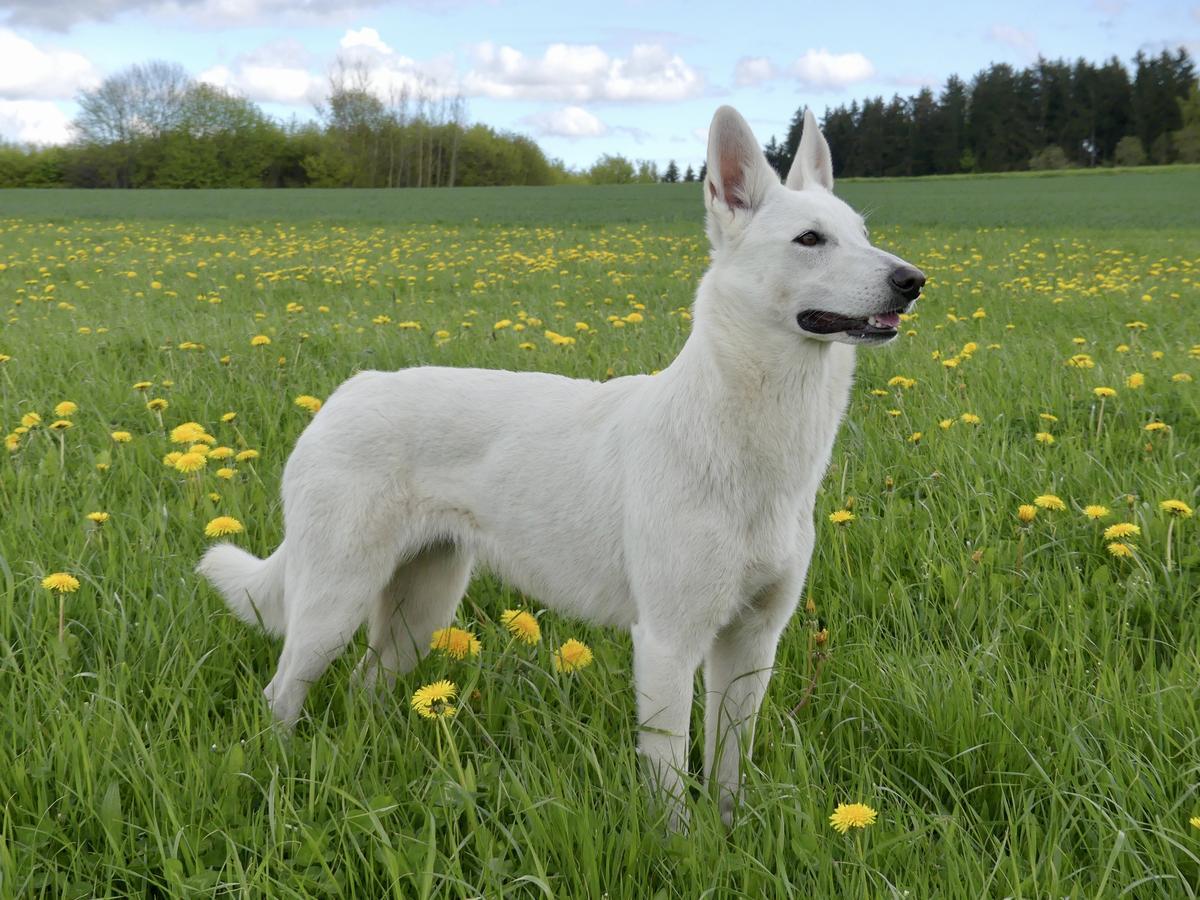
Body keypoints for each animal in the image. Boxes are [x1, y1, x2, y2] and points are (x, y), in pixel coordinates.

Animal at [196, 103, 926, 825]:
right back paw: (279, 780)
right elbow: (669, 785)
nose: (914, 281)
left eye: (862, 234)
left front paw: (729, 835)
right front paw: (680, 846)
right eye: (810, 240)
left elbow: (727, 773)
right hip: (333, 603)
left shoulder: (751, 643)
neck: (748, 440)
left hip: (421, 605)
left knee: (363, 685)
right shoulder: (667, 643)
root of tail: (343, 395)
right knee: (280, 695)